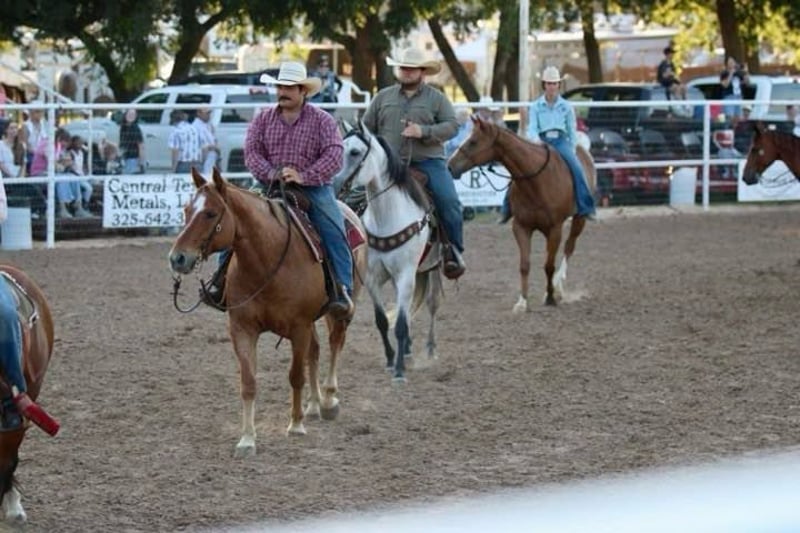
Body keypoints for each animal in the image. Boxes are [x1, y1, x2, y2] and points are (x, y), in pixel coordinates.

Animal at [168, 168, 368, 458]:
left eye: (211, 213)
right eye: (186, 209)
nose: (177, 258)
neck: (267, 260)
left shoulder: (298, 327)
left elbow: (295, 376)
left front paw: (295, 425)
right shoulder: (242, 329)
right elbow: (249, 383)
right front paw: (247, 439)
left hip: (339, 311)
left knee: (335, 344)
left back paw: (329, 400)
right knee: (316, 350)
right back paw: (313, 405)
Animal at [334, 124, 443, 383]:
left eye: (355, 152)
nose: (334, 184)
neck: (388, 216)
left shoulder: (406, 275)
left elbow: (401, 324)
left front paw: (400, 371)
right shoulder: (373, 278)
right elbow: (383, 321)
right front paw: (392, 359)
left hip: (433, 266)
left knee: (432, 303)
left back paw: (430, 348)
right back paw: (409, 349)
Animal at [447, 116, 596, 313]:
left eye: (473, 142)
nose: (449, 166)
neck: (536, 181)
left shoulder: (555, 229)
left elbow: (549, 265)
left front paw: (550, 297)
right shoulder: (521, 227)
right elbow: (525, 265)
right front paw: (522, 302)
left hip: (579, 220)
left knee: (569, 248)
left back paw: (558, 287)